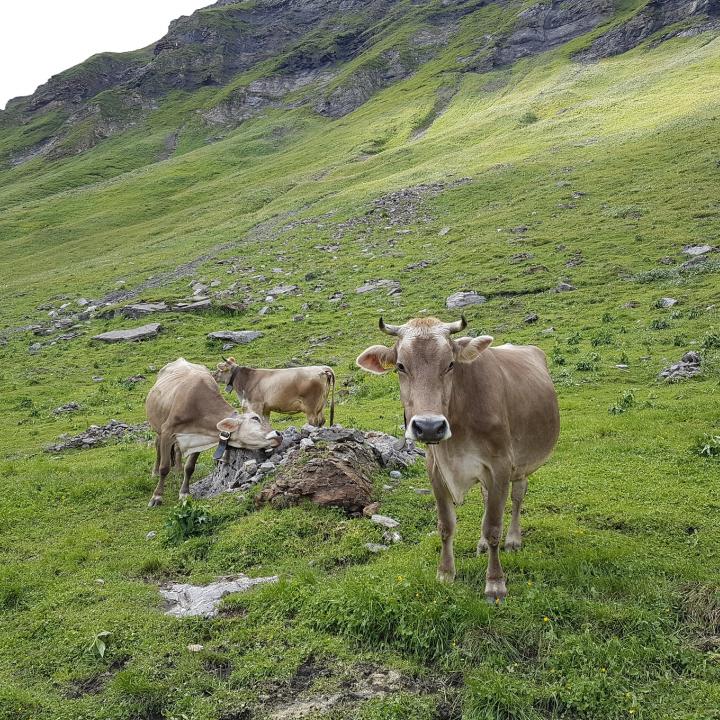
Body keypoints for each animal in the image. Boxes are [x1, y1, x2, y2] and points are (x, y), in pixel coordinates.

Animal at [146, 358, 282, 506]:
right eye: (255, 418)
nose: (279, 434)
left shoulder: (197, 437)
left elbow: (190, 467)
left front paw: (184, 493)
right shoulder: (167, 431)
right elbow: (164, 467)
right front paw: (157, 496)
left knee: (177, 449)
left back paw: (178, 471)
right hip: (158, 426)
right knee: (157, 446)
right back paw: (154, 472)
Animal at [358, 316, 560, 600]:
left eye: (451, 364)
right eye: (400, 366)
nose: (429, 427)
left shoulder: (500, 467)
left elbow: (493, 527)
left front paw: (495, 582)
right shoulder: (435, 470)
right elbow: (446, 526)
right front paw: (445, 572)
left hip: (521, 465)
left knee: (518, 497)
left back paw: (513, 539)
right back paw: (482, 545)